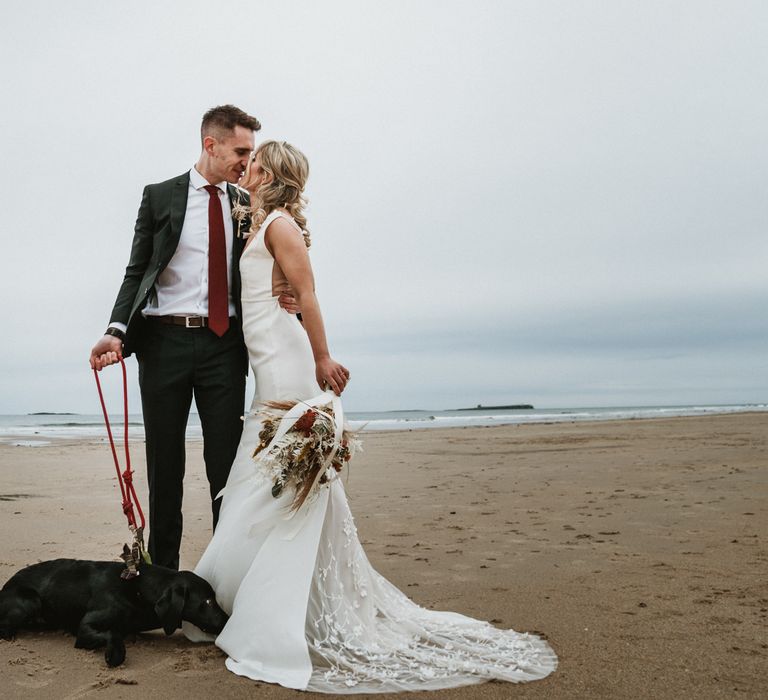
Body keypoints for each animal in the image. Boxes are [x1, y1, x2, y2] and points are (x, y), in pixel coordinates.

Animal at [0, 556, 228, 664]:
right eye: (208, 601)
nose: (228, 620)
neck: (137, 589)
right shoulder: (85, 627)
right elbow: (112, 634)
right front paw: (114, 654)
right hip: (31, 601)